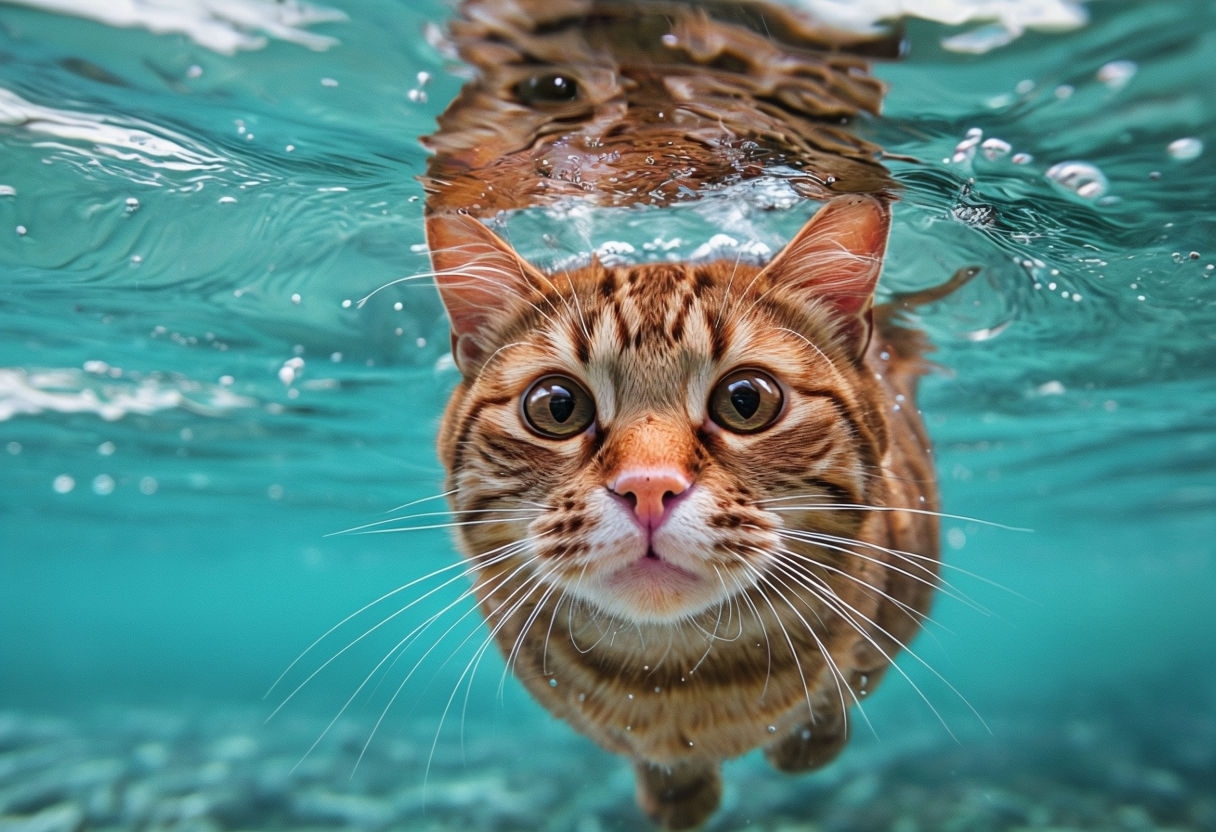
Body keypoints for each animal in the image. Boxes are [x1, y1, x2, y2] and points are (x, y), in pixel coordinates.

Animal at [423, 0, 943, 827]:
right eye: (557, 407)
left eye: (746, 401)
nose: (648, 487)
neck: (683, 686)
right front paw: (677, 795)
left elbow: (833, 699)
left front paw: (805, 744)